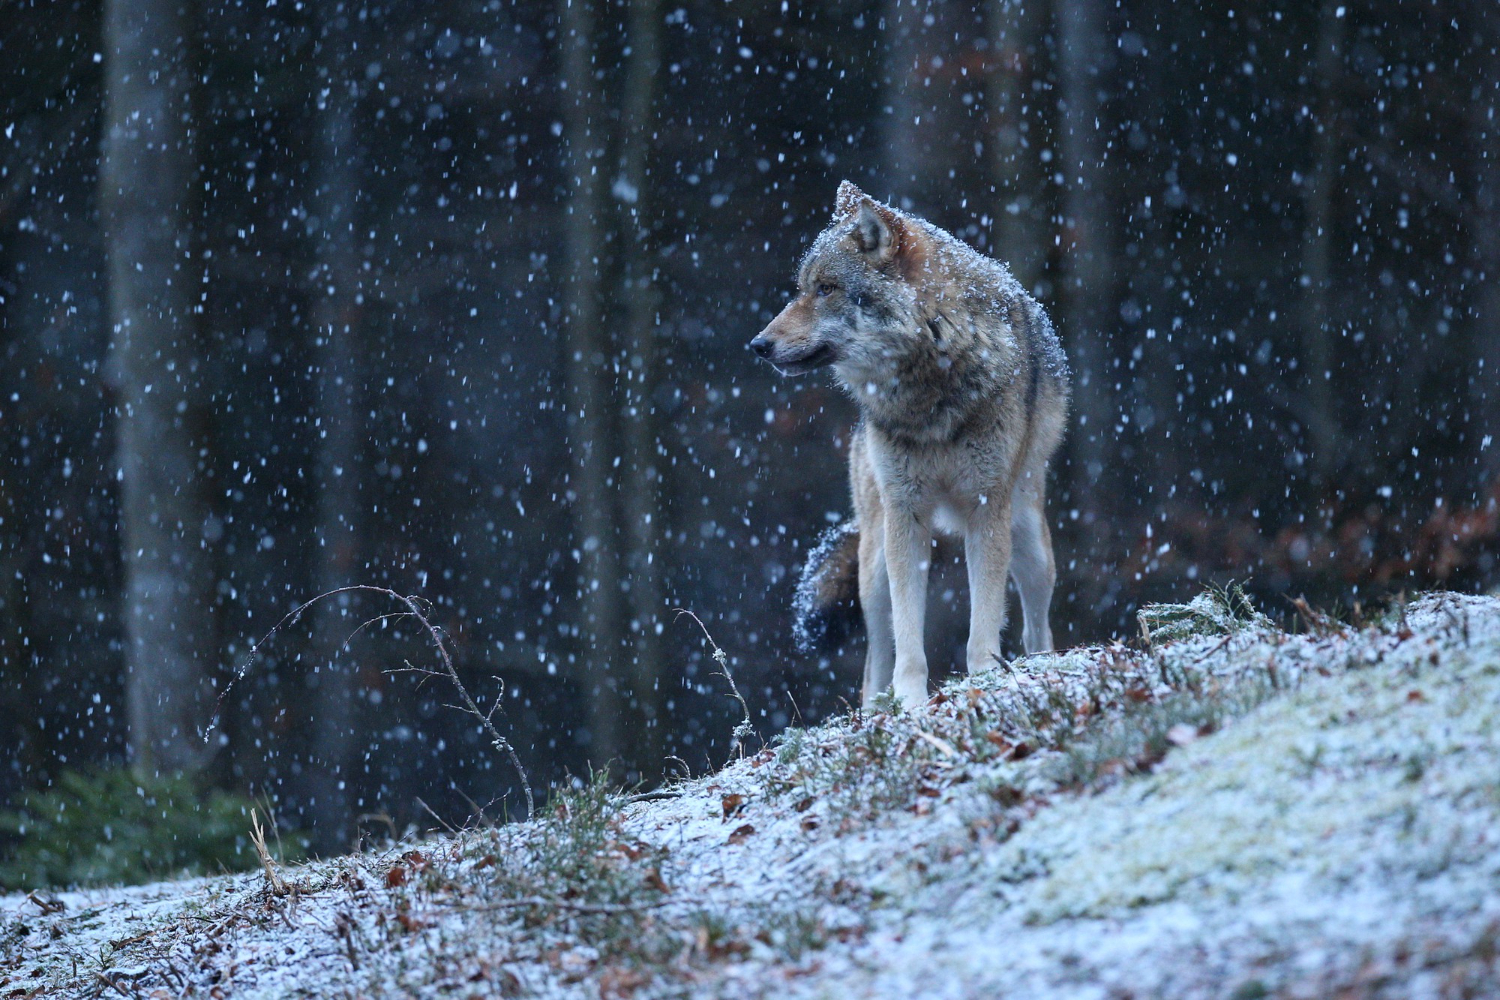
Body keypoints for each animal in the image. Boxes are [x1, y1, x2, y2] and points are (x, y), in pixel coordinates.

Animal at [747, 182, 1068, 710]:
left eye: (826, 288)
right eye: (802, 288)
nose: (757, 345)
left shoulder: (986, 509)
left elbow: (984, 622)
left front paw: (983, 679)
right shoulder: (906, 513)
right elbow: (908, 635)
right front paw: (913, 701)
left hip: (1030, 545)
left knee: (1036, 628)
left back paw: (1040, 666)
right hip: (874, 563)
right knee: (874, 658)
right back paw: (877, 708)